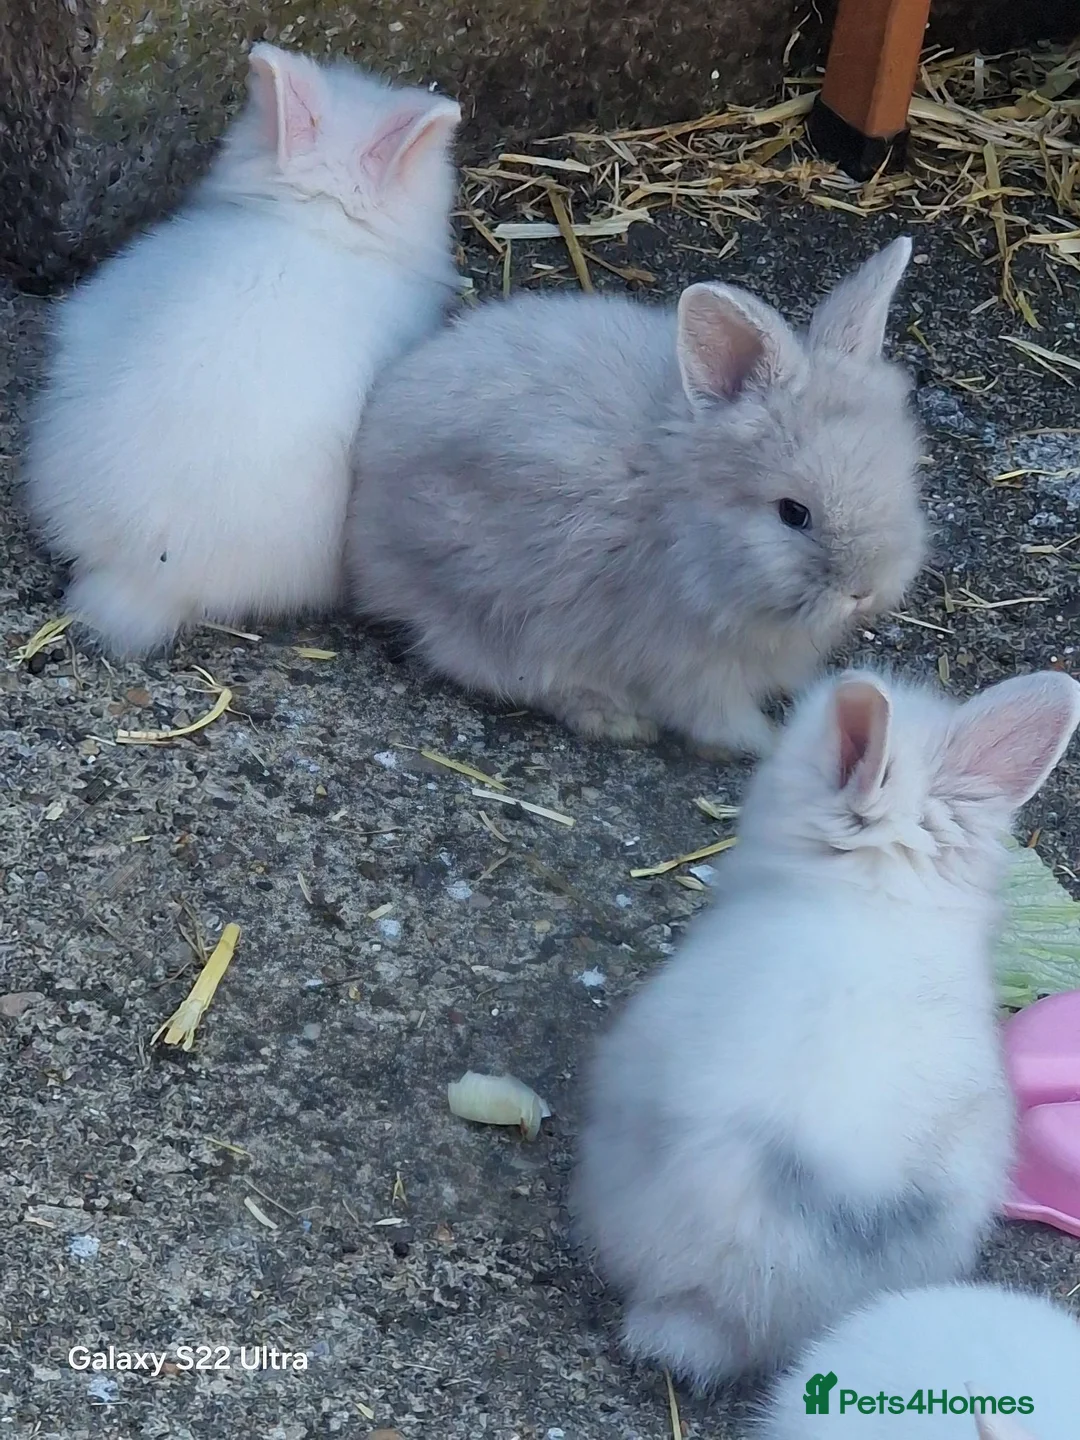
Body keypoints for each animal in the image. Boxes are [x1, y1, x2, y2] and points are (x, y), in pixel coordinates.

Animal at [346, 237, 925, 756]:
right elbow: (722, 719)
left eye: (904, 481)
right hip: (489, 608)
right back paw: (614, 719)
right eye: (793, 513)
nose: (864, 590)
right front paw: (769, 742)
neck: (685, 519)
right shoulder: (686, 662)